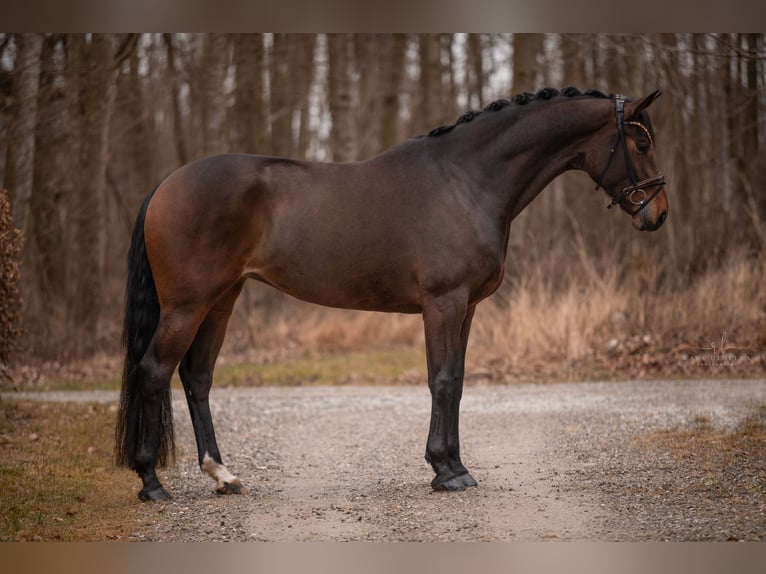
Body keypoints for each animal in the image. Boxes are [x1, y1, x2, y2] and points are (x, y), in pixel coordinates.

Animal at [112, 88, 664, 502]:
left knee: (197, 376)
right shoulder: (443, 303)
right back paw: (152, 483)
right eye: (640, 145)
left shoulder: (466, 308)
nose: (657, 214)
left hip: (222, 299)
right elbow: (442, 380)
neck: (465, 181)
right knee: (154, 371)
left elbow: (457, 381)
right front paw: (447, 471)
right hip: (187, 304)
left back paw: (223, 475)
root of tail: (165, 184)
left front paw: (453, 464)